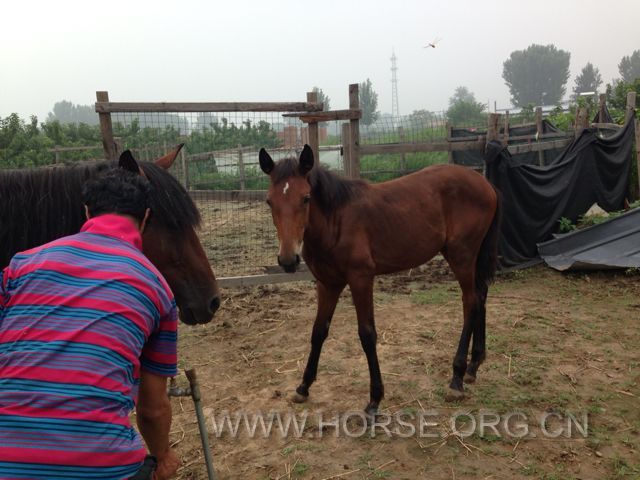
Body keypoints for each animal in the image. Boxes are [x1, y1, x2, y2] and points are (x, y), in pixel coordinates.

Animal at [258, 144, 500, 414]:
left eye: (306, 198)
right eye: (269, 201)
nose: (287, 260)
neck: (336, 221)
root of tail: (486, 184)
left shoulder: (361, 279)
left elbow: (367, 334)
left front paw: (374, 399)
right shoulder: (327, 284)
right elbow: (318, 331)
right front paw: (303, 386)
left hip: (462, 256)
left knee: (470, 303)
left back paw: (457, 378)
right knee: (481, 296)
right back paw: (474, 365)